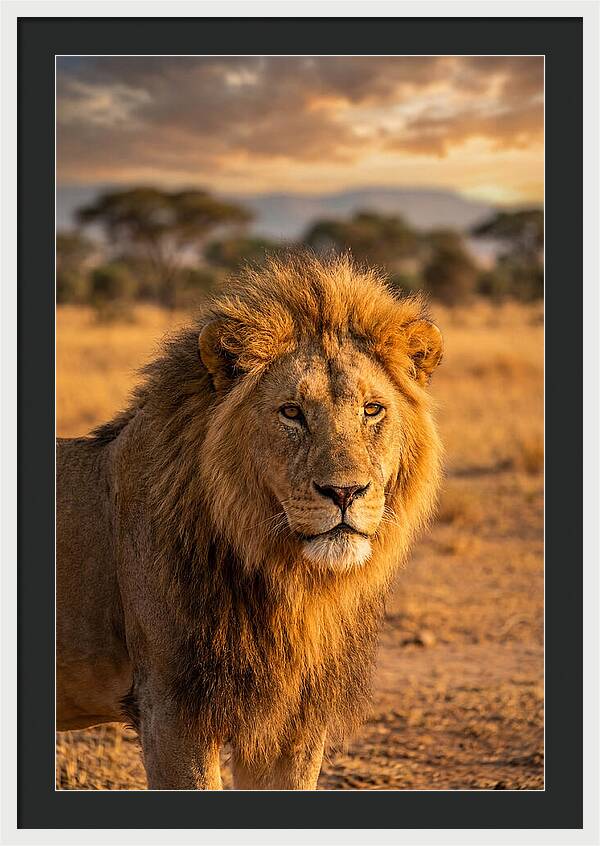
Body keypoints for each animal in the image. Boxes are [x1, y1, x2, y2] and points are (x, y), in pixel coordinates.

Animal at [56, 252, 443, 790]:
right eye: (291, 412)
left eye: (372, 409)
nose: (344, 492)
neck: (290, 583)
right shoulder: (172, 711)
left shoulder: (293, 722)